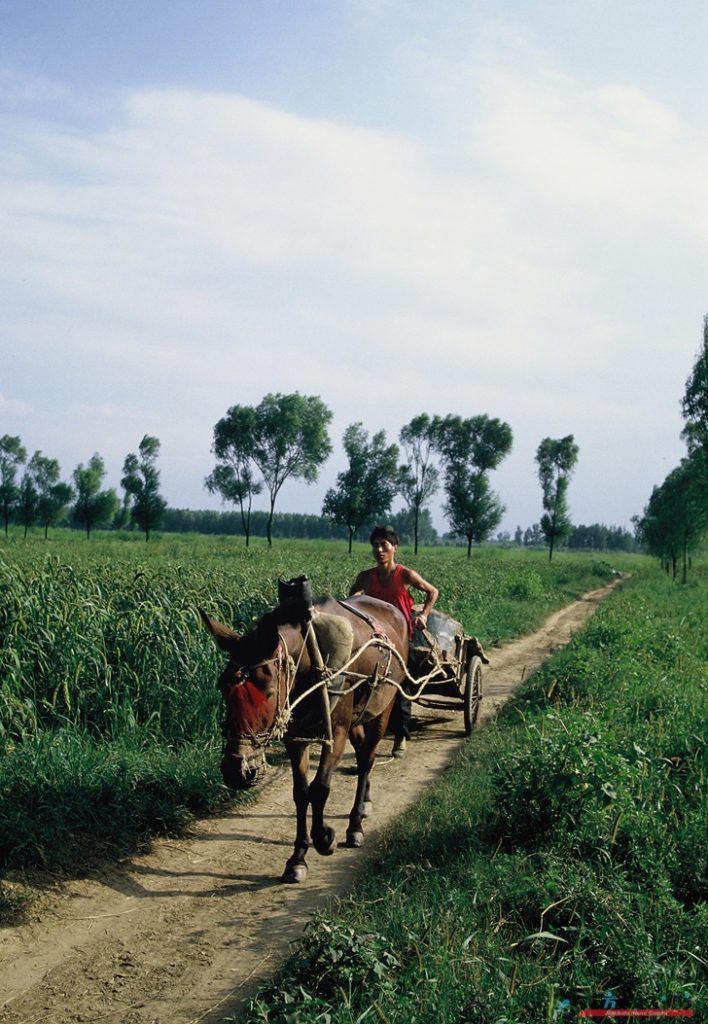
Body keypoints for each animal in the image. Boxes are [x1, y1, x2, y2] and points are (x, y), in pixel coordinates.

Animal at [199, 589, 409, 884]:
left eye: (269, 692)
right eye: (222, 686)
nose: (235, 770)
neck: (311, 660)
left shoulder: (337, 733)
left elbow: (320, 788)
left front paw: (323, 838)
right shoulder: (296, 738)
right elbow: (300, 793)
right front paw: (297, 857)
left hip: (383, 707)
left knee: (368, 758)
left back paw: (355, 823)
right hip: (357, 718)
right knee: (361, 755)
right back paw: (365, 802)